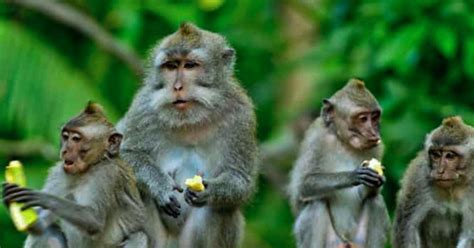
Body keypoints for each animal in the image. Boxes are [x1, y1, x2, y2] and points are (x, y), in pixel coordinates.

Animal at [2, 102, 154, 248]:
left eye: (76, 139)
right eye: (65, 136)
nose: (64, 150)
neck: (90, 168)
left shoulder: (109, 175)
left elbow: (93, 219)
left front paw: (42, 198)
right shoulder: (59, 173)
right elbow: (39, 226)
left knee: (139, 236)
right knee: (48, 231)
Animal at [118, 22, 258, 247]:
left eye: (190, 65)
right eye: (171, 66)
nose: (177, 87)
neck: (190, 119)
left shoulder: (241, 115)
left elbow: (241, 179)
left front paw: (211, 191)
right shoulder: (143, 107)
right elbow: (127, 156)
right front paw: (161, 186)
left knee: (222, 208)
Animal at [286, 79, 390, 248]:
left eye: (374, 117)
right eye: (363, 118)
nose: (374, 133)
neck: (344, 142)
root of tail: (346, 241)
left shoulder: (377, 148)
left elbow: (371, 195)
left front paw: (377, 180)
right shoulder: (316, 140)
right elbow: (303, 186)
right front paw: (353, 176)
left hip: (357, 240)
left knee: (376, 202)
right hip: (331, 241)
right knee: (316, 203)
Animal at [392, 116, 474, 248]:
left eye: (450, 156)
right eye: (435, 155)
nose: (439, 171)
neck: (453, 187)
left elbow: (469, 234)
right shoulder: (418, 179)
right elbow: (408, 227)